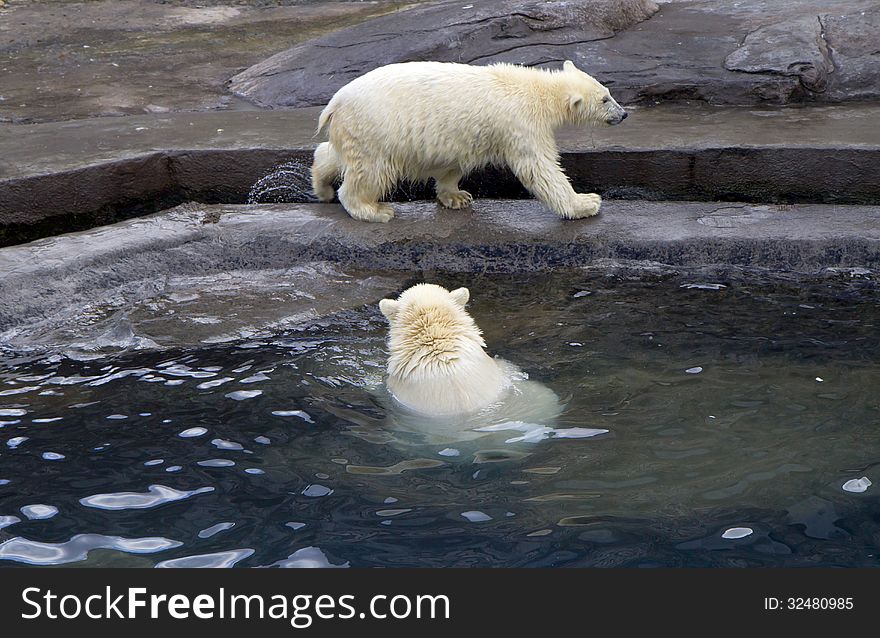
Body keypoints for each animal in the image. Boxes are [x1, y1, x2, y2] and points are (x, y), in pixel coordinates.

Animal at [312, 60, 628, 224]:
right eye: (605, 99)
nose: (623, 114)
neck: (536, 90)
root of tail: (334, 104)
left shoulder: (463, 135)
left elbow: (451, 164)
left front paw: (457, 196)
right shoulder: (521, 124)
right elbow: (539, 169)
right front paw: (586, 203)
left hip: (356, 130)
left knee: (336, 155)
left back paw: (323, 187)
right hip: (376, 129)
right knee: (371, 171)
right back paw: (375, 210)